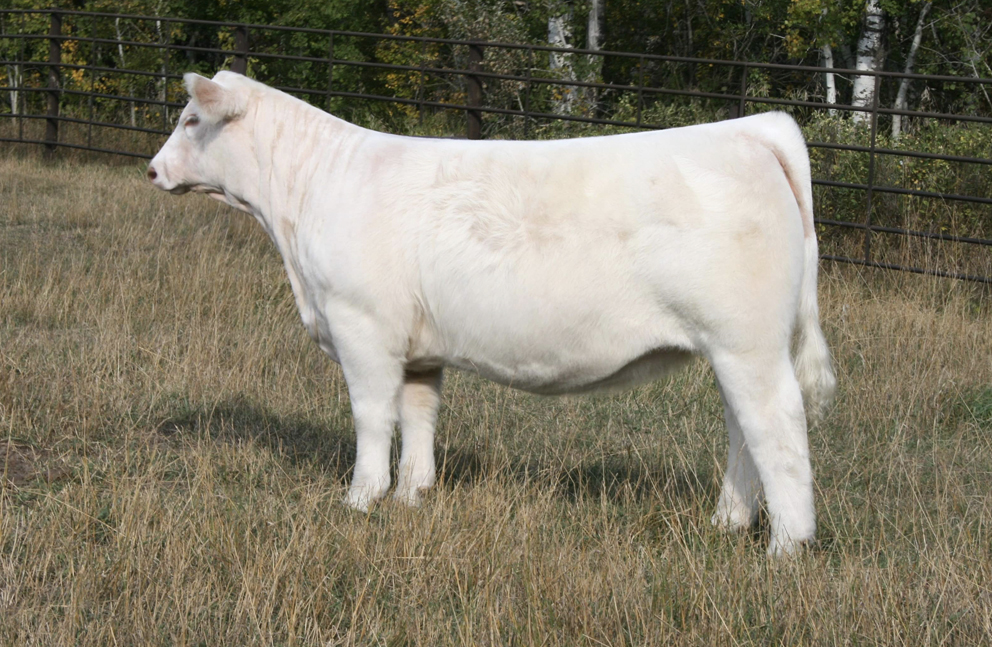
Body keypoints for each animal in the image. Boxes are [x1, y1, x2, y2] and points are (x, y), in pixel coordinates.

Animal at [149, 71, 836, 556]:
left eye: (190, 119)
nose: (153, 169)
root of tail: (749, 129)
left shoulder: (361, 325)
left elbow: (372, 415)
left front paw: (361, 499)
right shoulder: (419, 346)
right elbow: (419, 413)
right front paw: (413, 494)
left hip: (746, 343)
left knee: (776, 427)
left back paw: (786, 546)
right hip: (733, 349)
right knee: (742, 431)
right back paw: (727, 523)